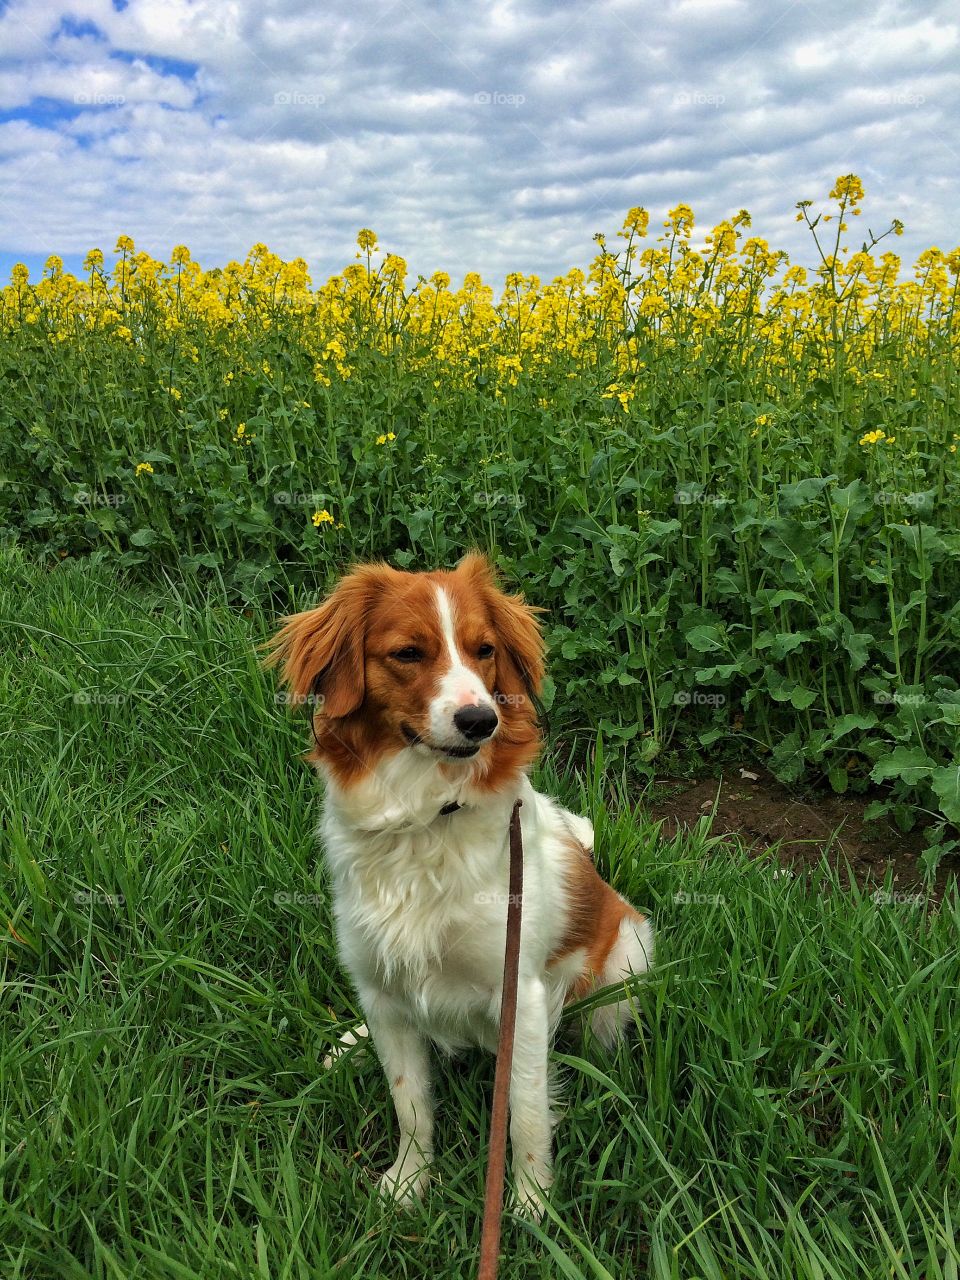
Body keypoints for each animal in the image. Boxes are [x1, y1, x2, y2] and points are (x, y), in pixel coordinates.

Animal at [268, 555, 655, 1213]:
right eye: (407, 653)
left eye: (484, 650)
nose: (481, 720)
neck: (426, 817)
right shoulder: (381, 989)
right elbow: (411, 1104)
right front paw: (409, 1182)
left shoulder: (518, 993)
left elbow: (524, 1112)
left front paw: (530, 1205)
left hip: (627, 961)